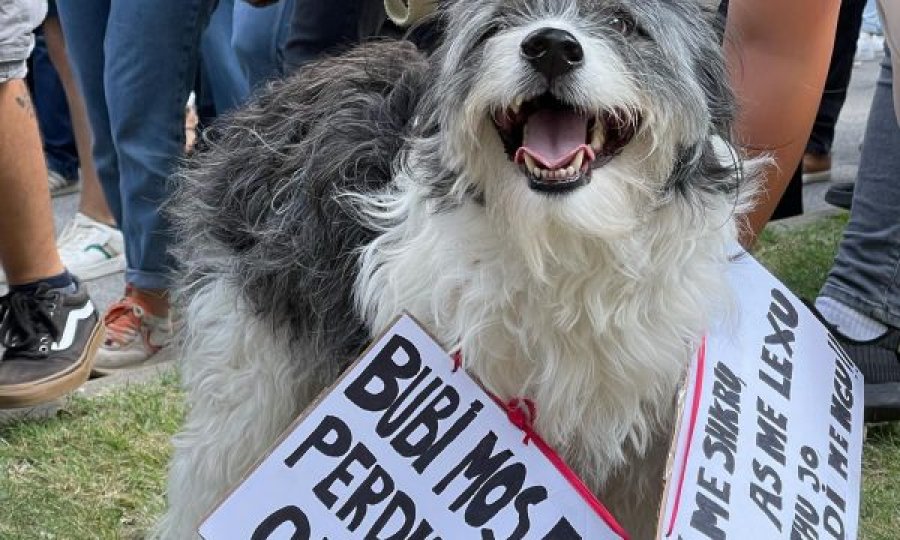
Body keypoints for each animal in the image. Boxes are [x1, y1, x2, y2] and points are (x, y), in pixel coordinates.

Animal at [158, 2, 756, 536]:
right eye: (501, 21)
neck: (559, 239)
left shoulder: (640, 449)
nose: (551, 47)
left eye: (624, 22)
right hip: (247, 379)